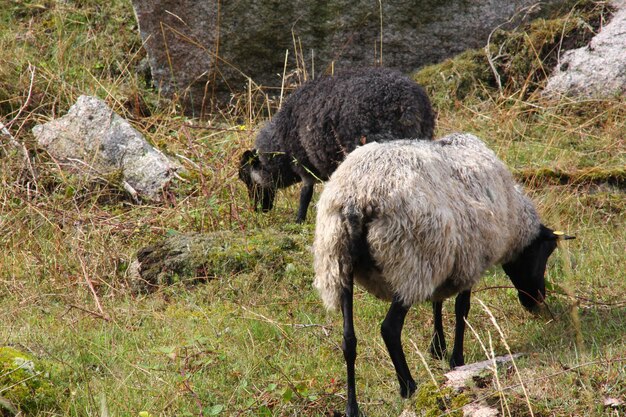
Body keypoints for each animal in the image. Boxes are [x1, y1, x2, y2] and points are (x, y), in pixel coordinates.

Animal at [238, 68, 434, 223]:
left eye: (245, 178)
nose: (258, 210)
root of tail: (407, 104)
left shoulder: (302, 162)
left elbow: (305, 193)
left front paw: (299, 219)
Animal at [312, 133, 572, 416]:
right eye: (544, 252)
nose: (537, 301)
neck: (512, 220)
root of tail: (356, 200)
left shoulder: (444, 257)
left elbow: (437, 302)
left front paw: (437, 347)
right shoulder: (470, 259)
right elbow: (462, 309)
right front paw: (456, 359)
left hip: (338, 262)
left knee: (348, 339)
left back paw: (352, 405)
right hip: (409, 263)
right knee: (389, 328)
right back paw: (409, 387)